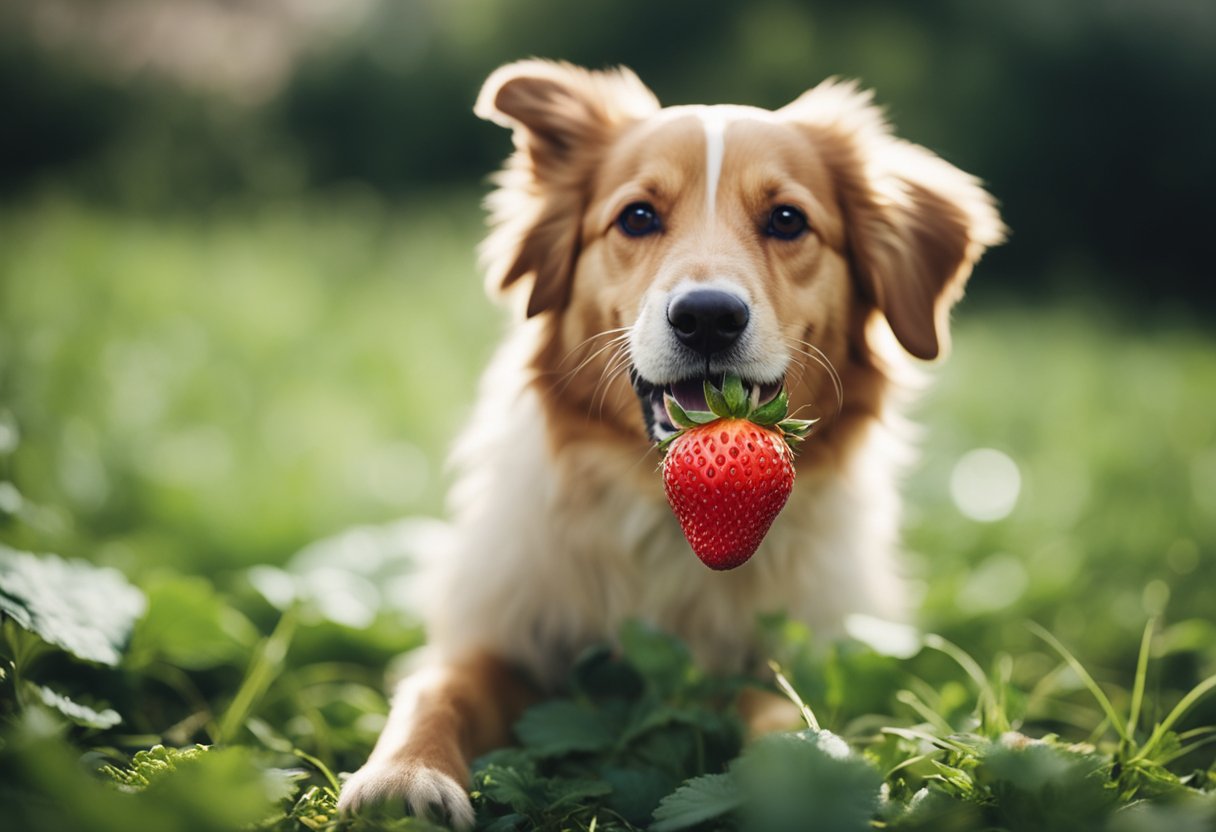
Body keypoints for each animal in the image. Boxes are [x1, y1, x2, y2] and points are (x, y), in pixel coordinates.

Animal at [338, 60, 1001, 827]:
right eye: (637, 216)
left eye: (787, 219)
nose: (707, 317)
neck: (665, 517)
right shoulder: (499, 626)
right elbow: (440, 685)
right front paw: (403, 776)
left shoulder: (789, 655)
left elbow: (786, 716)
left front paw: (802, 784)